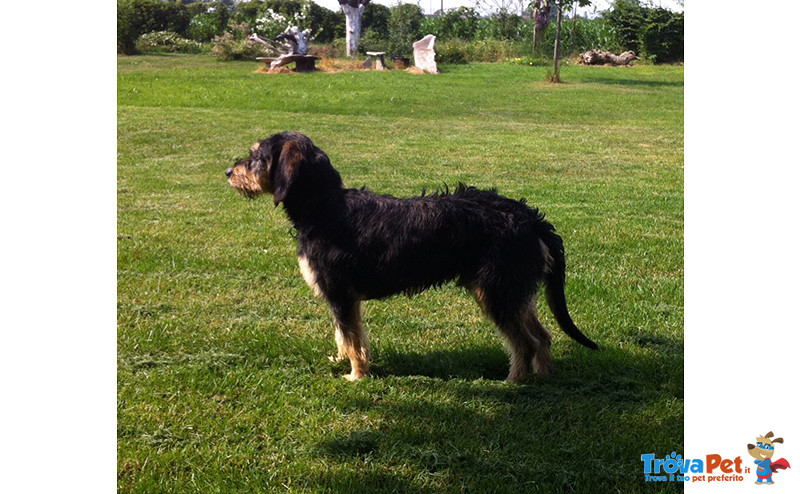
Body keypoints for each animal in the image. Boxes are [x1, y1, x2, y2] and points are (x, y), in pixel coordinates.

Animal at [222, 133, 596, 384]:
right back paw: (543, 376)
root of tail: (528, 216)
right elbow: (349, 336)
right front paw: (344, 360)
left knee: (525, 342)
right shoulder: (347, 300)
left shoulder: (341, 294)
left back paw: (513, 382)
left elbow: (352, 338)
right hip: (513, 292)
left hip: (498, 293)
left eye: (257, 156)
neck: (325, 208)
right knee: (542, 336)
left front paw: (356, 375)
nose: (228, 172)